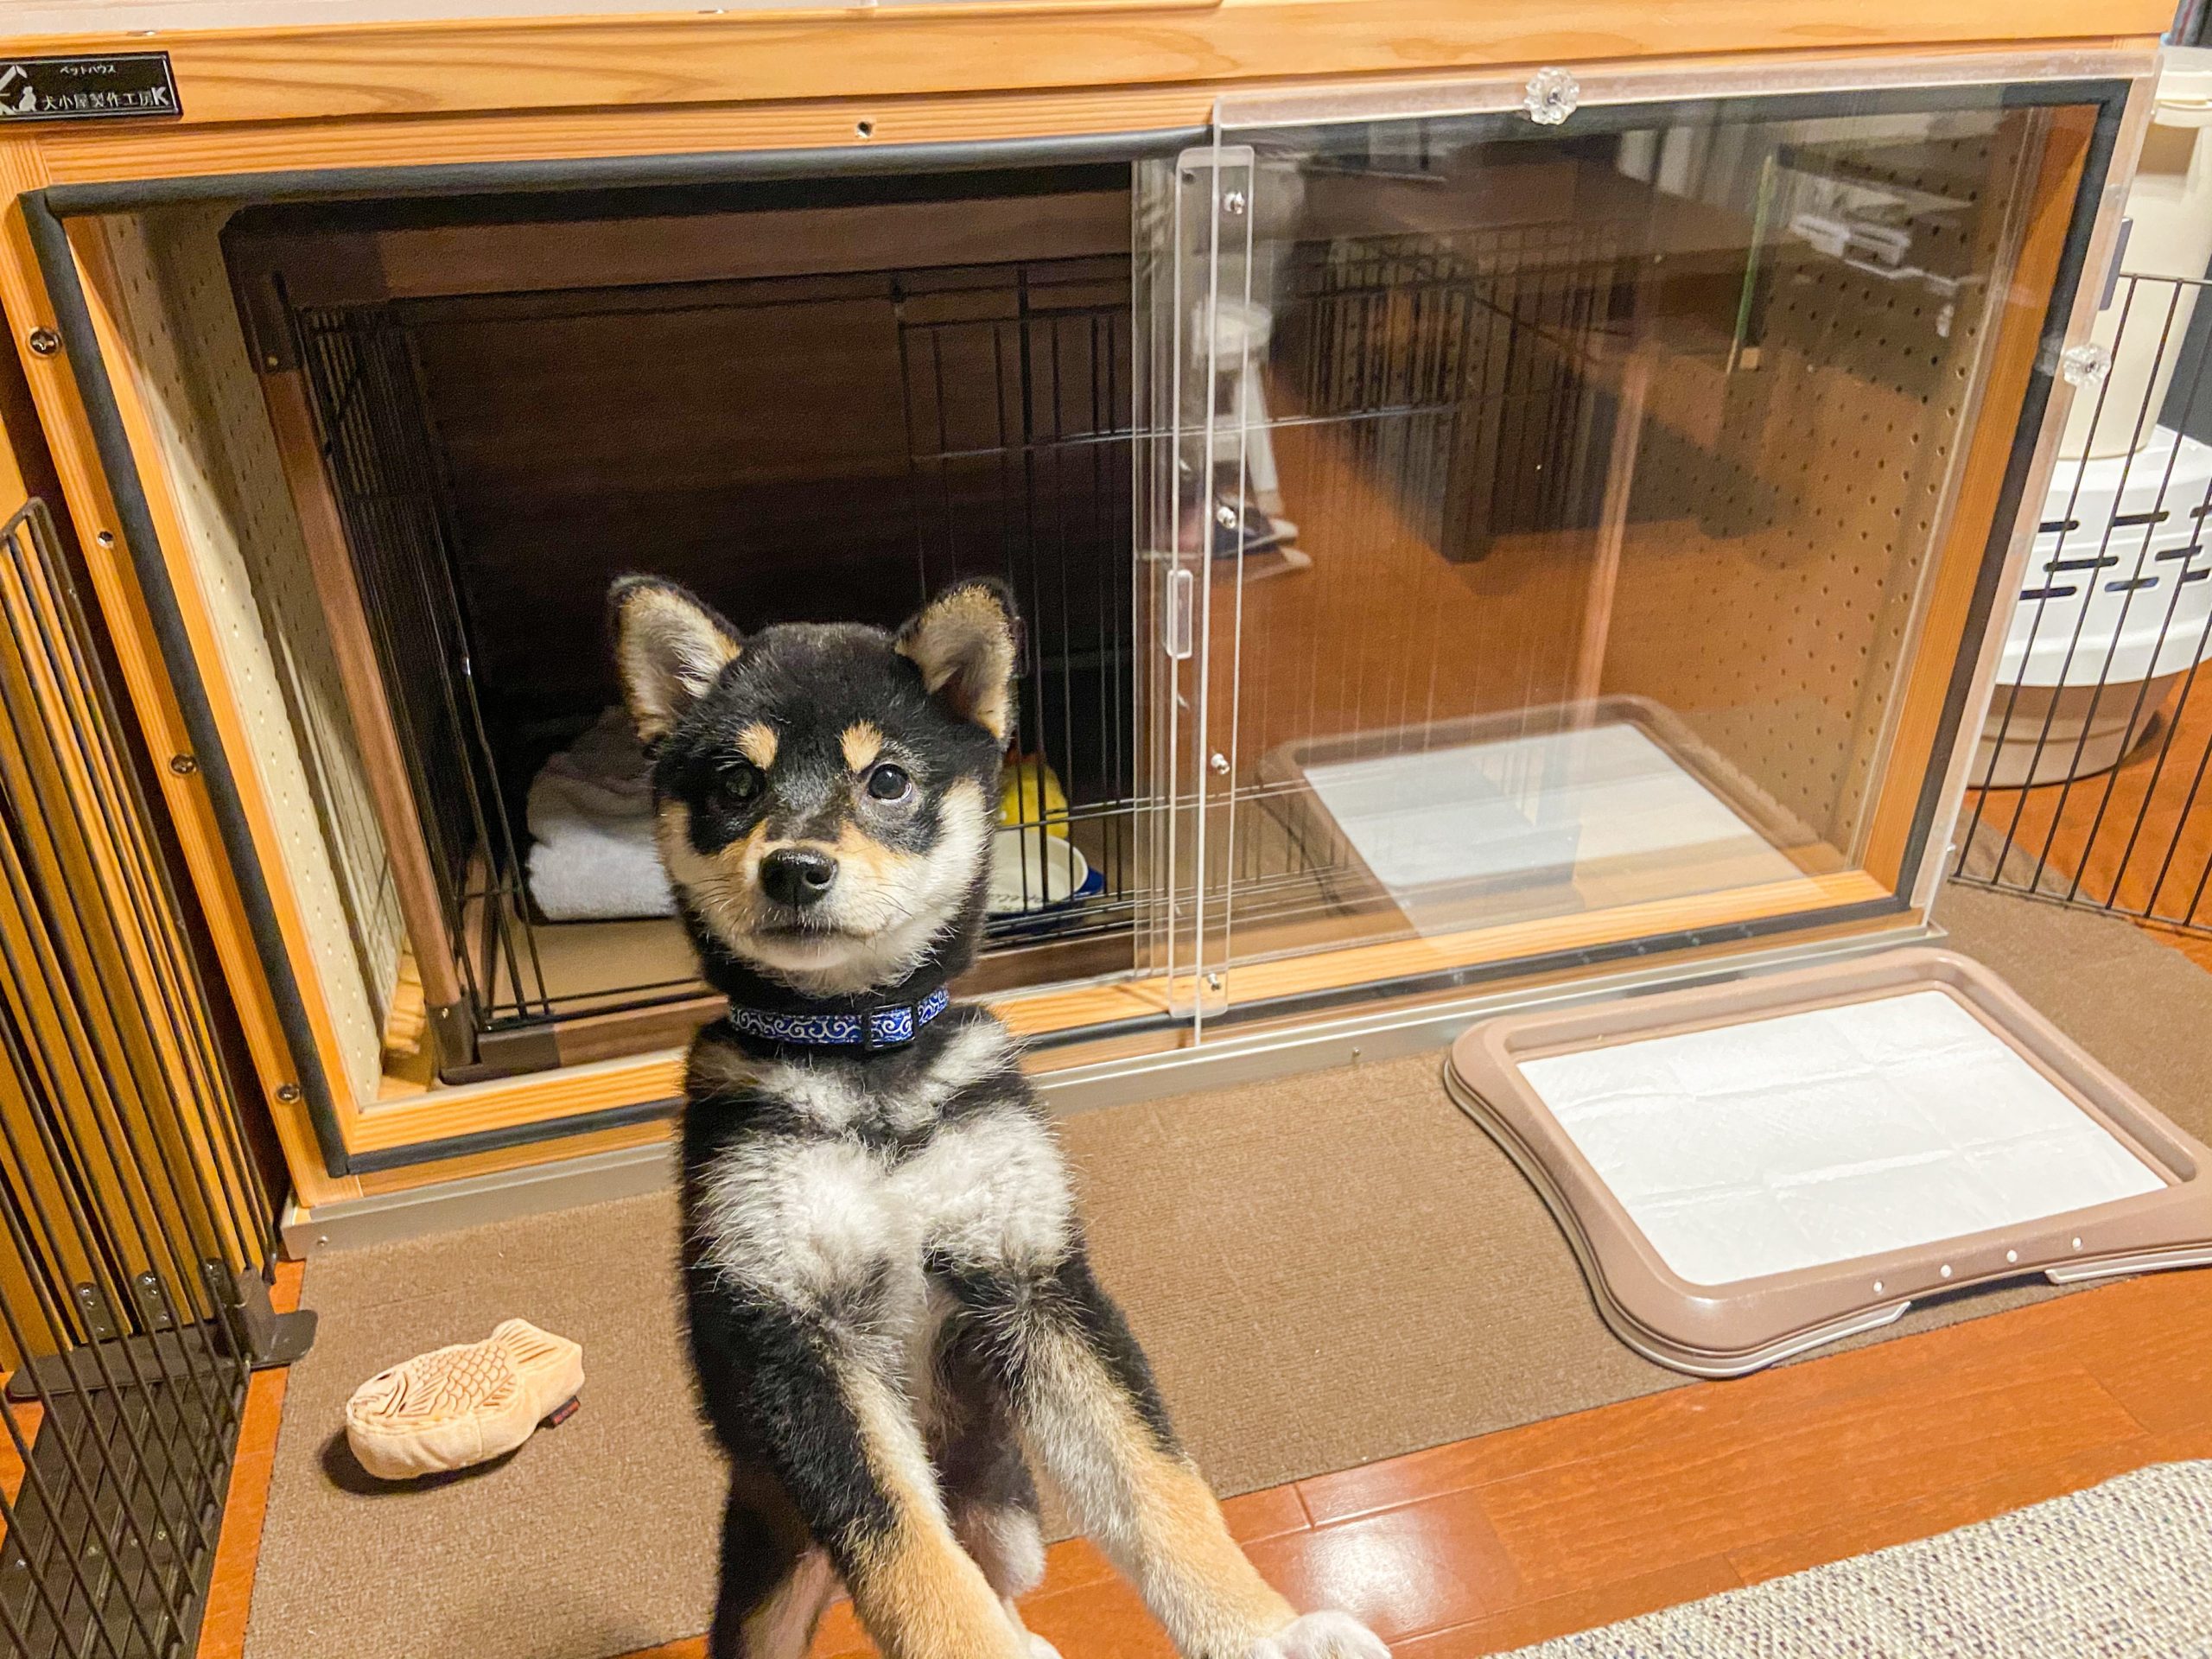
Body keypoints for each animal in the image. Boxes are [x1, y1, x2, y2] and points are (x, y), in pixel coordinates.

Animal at [610, 575, 1380, 1659]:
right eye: (734, 784)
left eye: (887, 780)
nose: (794, 867)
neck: (865, 1060)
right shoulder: (794, 1333)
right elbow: (910, 1558)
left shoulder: (1031, 1279)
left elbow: (1161, 1488)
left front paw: (1263, 1633)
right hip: (773, 1560)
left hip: (1006, 1508)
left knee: (1001, 1573)